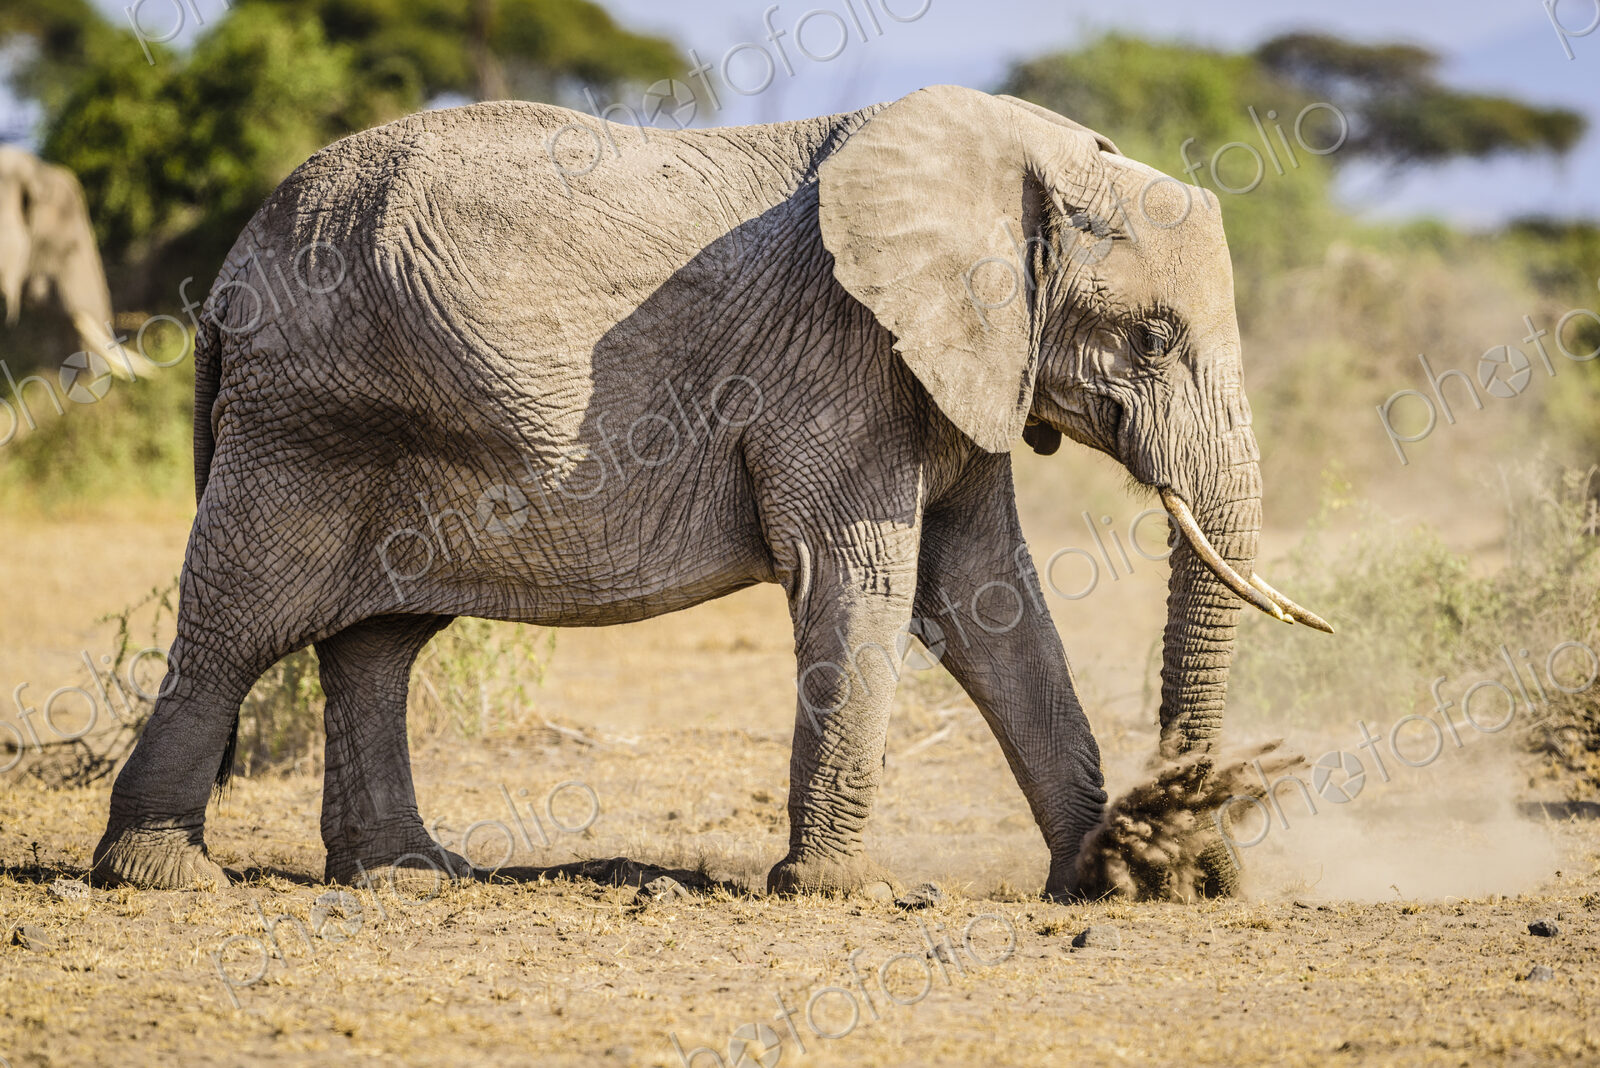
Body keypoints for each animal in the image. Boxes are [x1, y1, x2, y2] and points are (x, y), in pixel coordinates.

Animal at [91, 85, 1330, 896]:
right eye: (1151, 338)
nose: (1177, 850)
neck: (1006, 156)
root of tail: (228, 276)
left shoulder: (959, 361)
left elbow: (991, 602)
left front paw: (1106, 881)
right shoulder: (841, 353)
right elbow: (864, 581)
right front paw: (846, 895)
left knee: (375, 644)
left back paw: (408, 875)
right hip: (305, 423)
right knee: (239, 623)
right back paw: (162, 878)